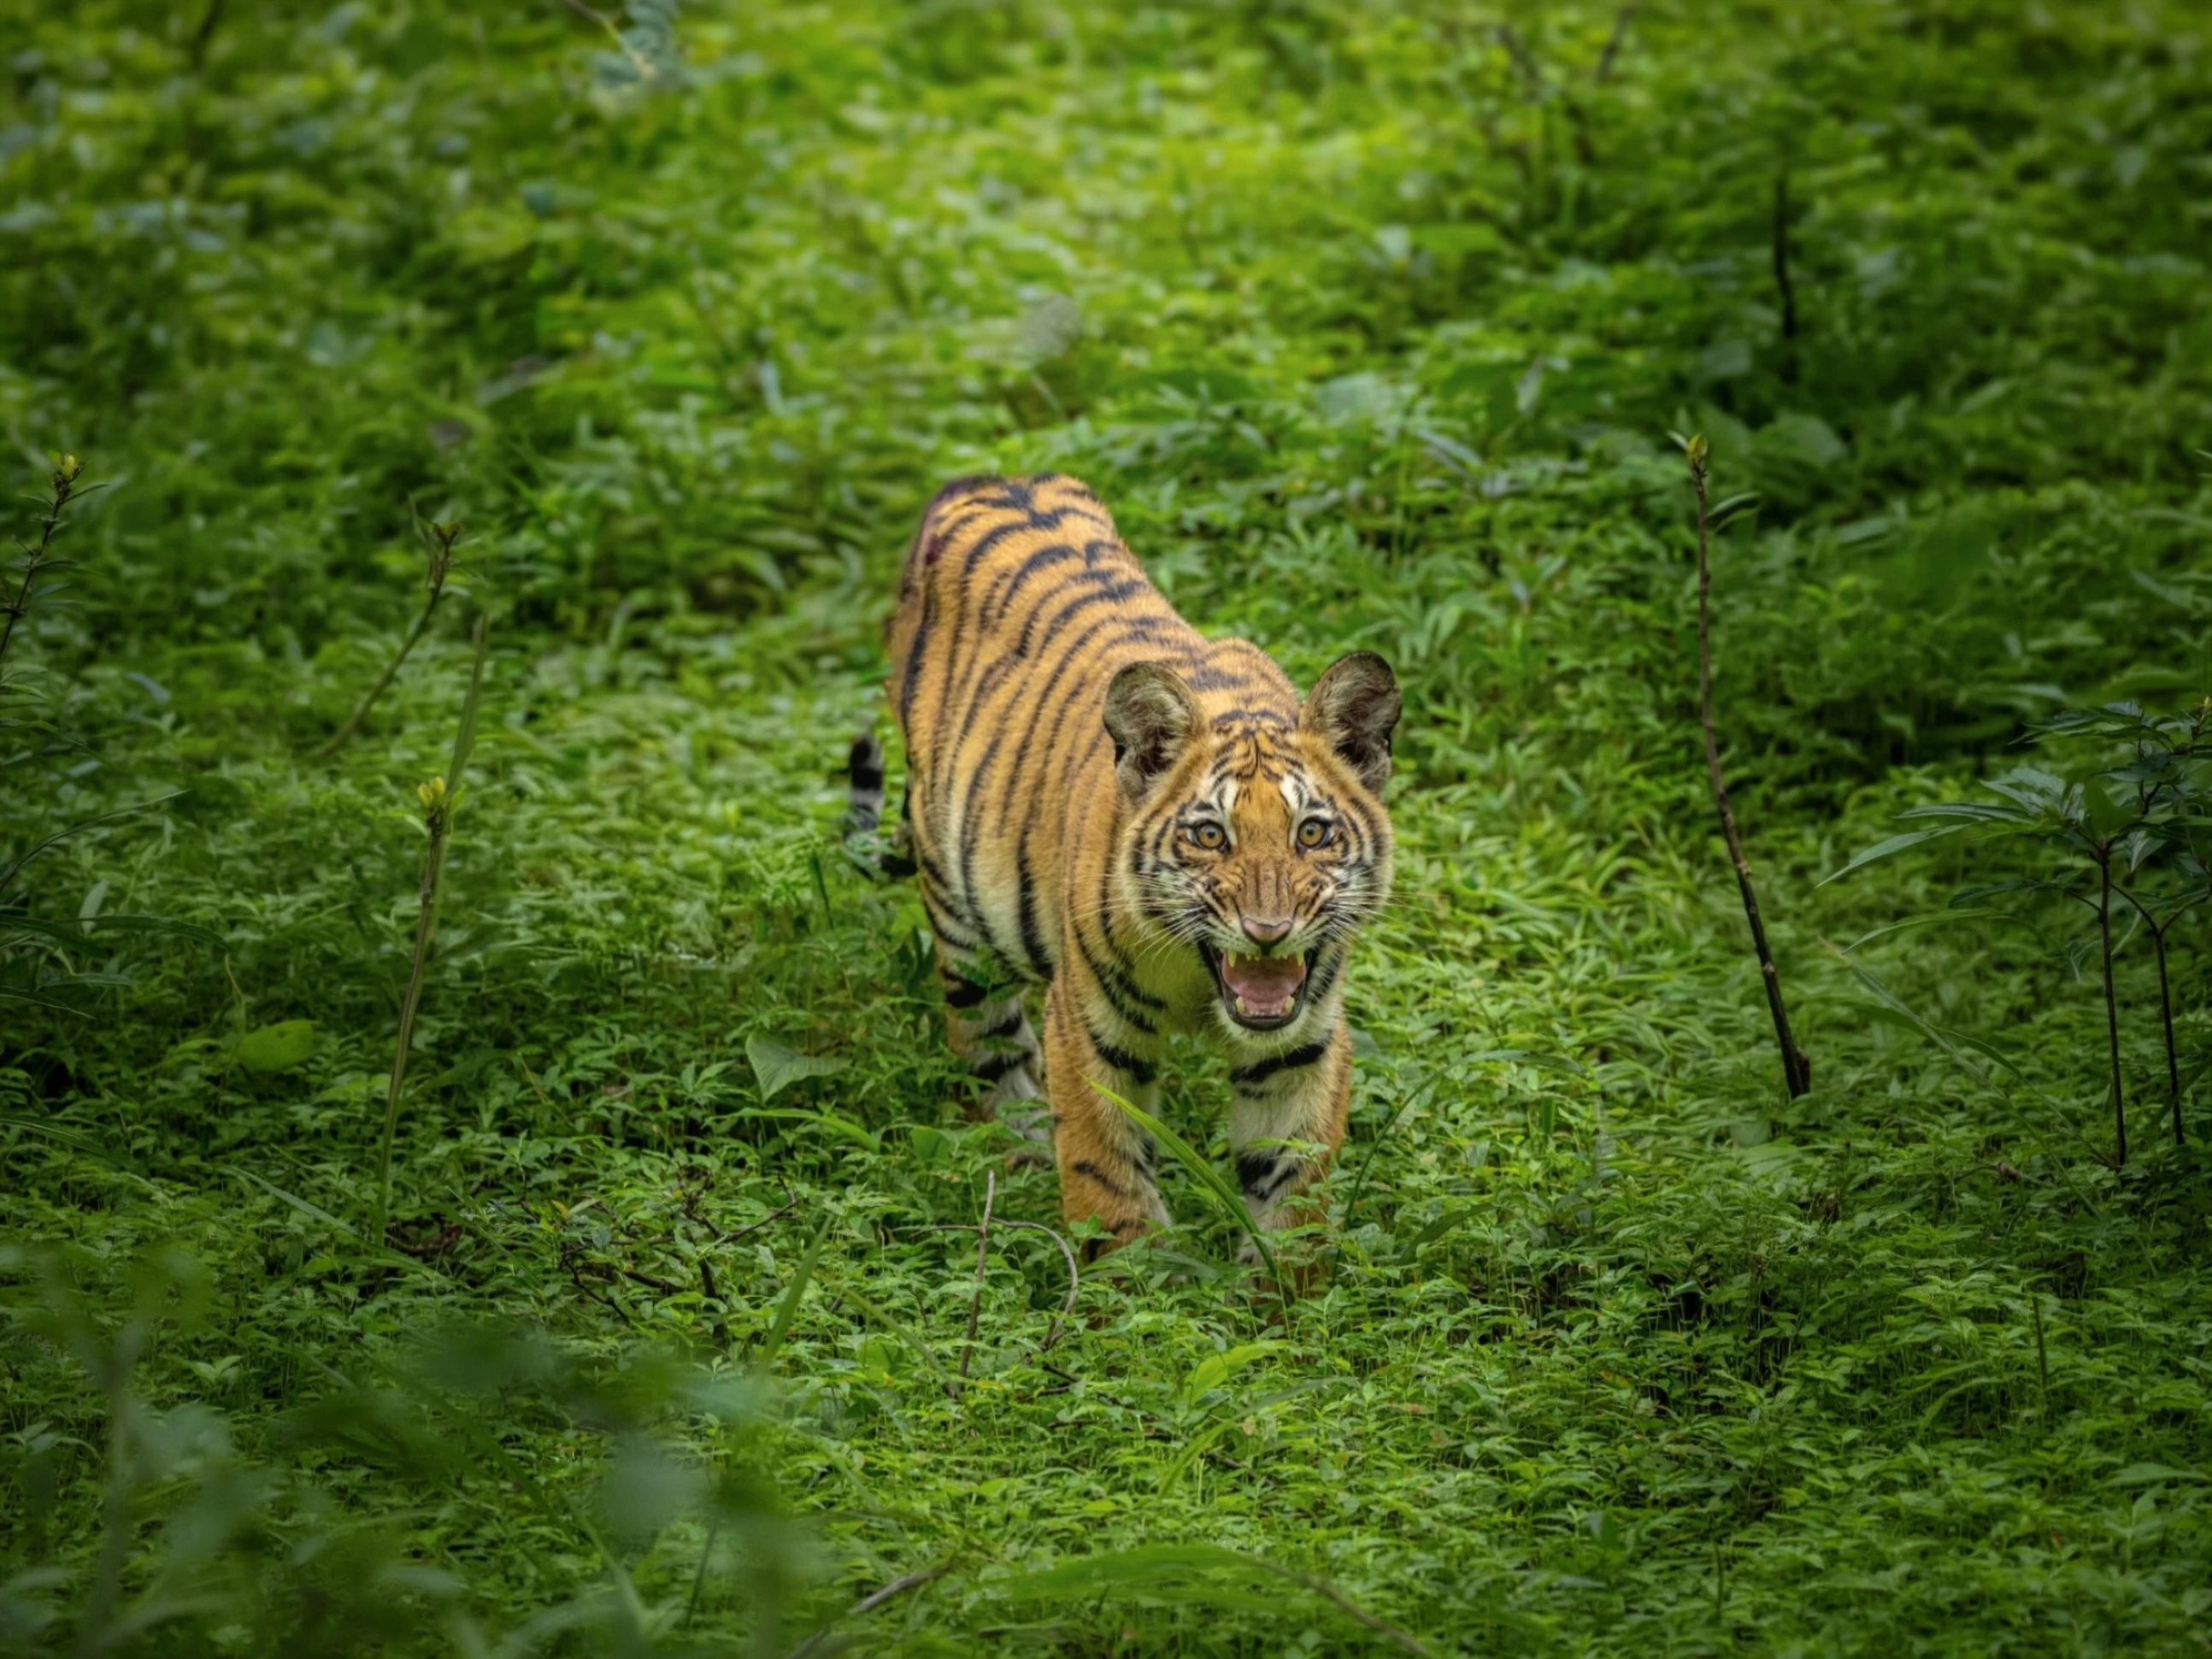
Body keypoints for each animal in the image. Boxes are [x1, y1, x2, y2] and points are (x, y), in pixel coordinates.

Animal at [849, 473, 1400, 1264]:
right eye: (1210, 835)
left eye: (1313, 832)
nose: (1268, 931)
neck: (1201, 987)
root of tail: (985, 478)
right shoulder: (1087, 1024)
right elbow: (1104, 1173)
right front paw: (1134, 1284)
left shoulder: (1303, 1041)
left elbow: (1293, 1192)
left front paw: (1280, 1291)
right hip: (960, 917)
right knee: (987, 1048)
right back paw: (1016, 1165)